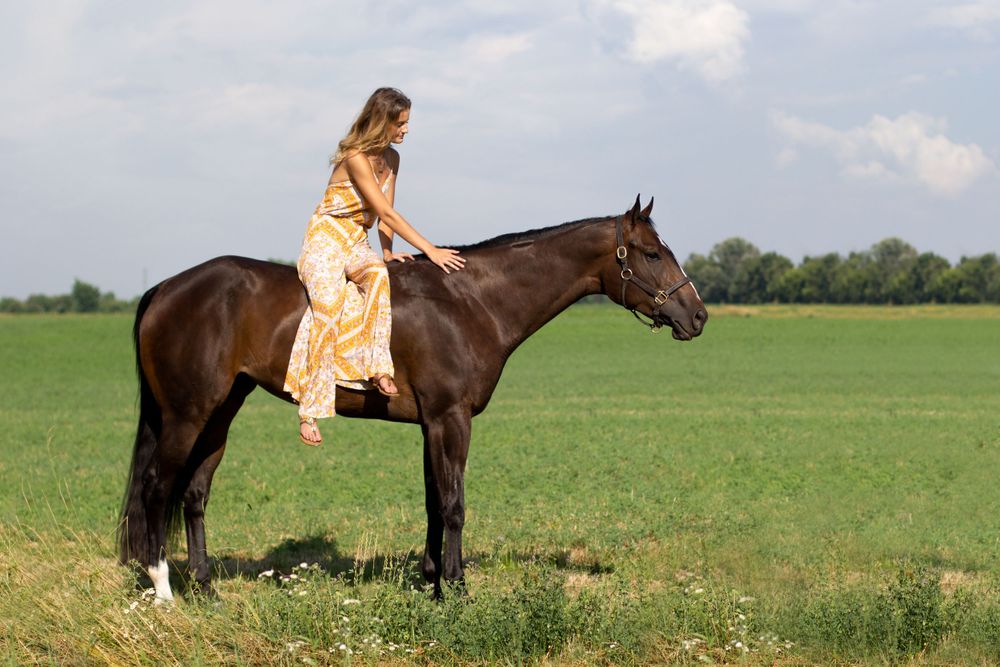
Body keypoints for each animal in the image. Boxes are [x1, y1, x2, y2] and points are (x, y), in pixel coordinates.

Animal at [118, 196, 707, 602]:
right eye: (652, 254)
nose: (698, 315)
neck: (472, 301)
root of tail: (165, 287)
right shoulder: (452, 419)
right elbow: (454, 505)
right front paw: (458, 588)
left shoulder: (431, 423)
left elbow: (432, 502)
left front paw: (433, 582)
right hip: (187, 415)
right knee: (156, 488)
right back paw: (164, 589)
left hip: (220, 412)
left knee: (194, 494)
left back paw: (206, 588)